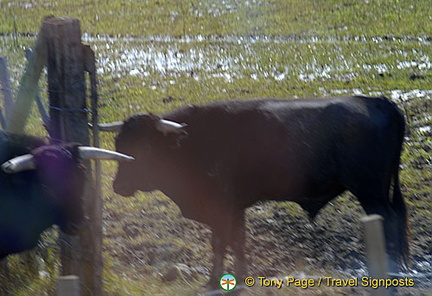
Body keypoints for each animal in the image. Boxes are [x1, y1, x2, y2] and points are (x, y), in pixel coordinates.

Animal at [112, 96, 408, 286]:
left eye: (145, 148)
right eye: (119, 145)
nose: (118, 186)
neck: (193, 142)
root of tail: (376, 101)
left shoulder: (221, 206)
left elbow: (220, 242)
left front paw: (214, 281)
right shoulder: (235, 207)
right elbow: (237, 241)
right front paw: (240, 277)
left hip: (371, 193)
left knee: (389, 222)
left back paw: (390, 269)